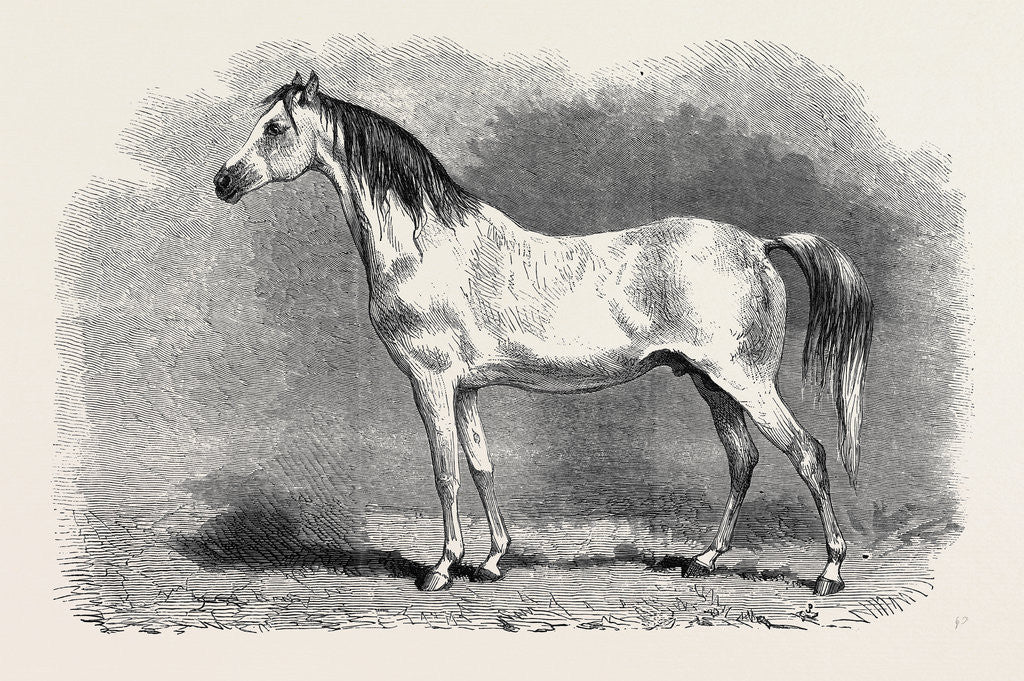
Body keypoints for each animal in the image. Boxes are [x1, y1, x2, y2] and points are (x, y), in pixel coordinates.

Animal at [214, 71, 873, 596]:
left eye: (275, 128)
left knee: (808, 454)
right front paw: (491, 560)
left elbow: (445, 470)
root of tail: (758, 244)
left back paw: (830, 572)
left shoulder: (431, 381)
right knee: (743, 459)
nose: (223, 181)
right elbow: (481, 465)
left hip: (745, 380)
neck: (422, 244)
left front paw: (442, 567)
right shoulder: (466, 388)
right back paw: (706, 559)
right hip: (712, 383)